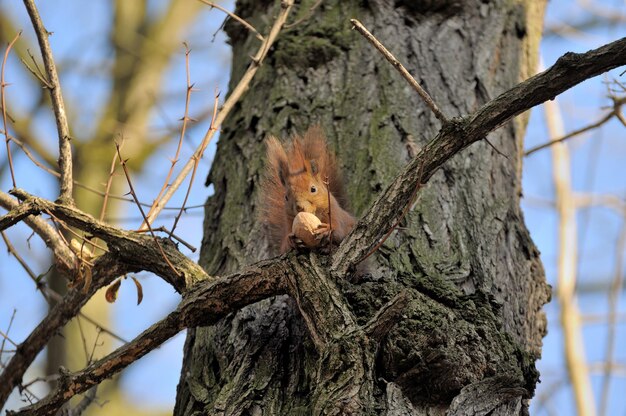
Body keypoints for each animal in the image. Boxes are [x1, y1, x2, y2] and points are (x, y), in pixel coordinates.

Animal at [260, 126, 356, 254]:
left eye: (313, 189)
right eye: (286, 197)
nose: (300, 207)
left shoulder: (334, 213)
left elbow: (339, 231)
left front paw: (327, 229)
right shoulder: (289, 222)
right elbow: (284, 247)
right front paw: (291, 241)